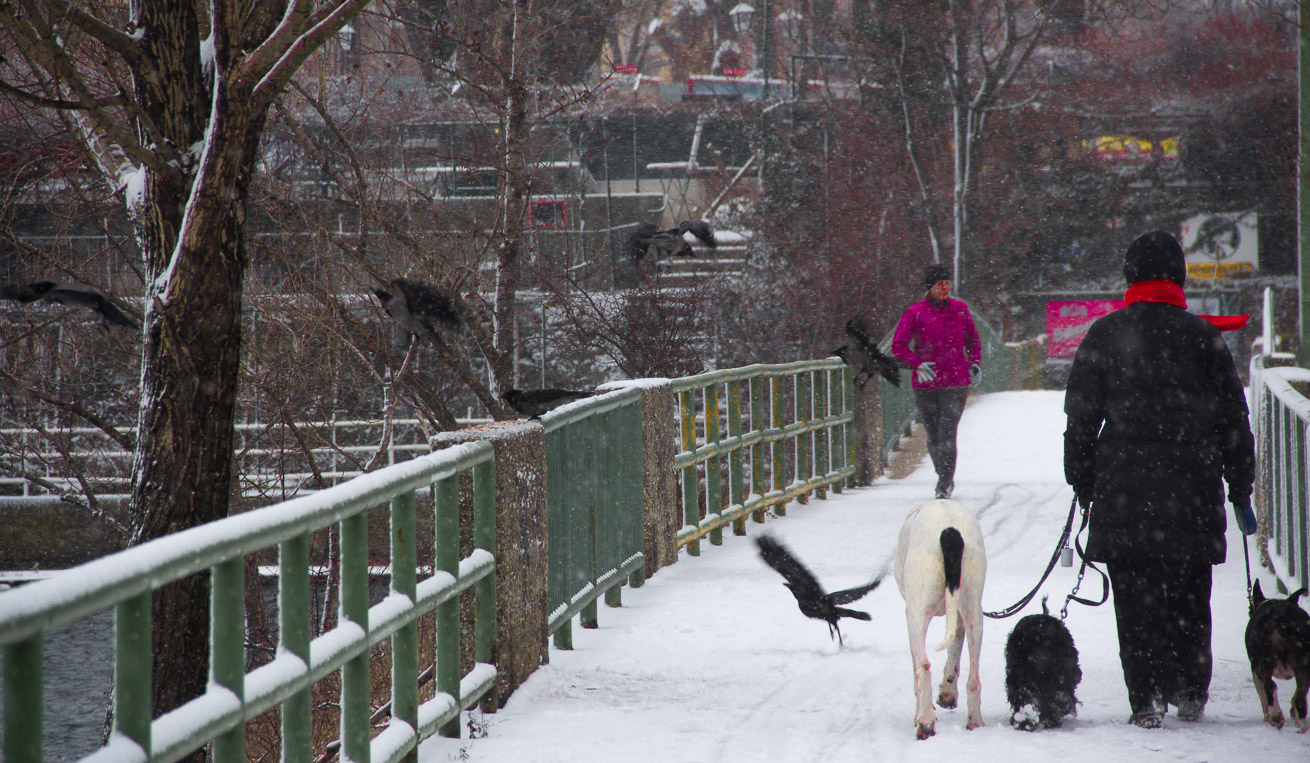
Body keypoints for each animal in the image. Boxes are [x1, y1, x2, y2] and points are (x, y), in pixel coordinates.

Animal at [896, 498, 985, 739]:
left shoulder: (911, 614)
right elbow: (955, 649)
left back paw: (925, 722)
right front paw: (948, 692)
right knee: (974, 676)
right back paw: (975, 721)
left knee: (923, 666)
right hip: (974, 610)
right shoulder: (960, 615)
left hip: (917, 613)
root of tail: (949, 531)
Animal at [1247, 579, 1310, 734]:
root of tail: (1282, 620)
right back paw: (1301, 726)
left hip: (1263, 663)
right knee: (1301, 696)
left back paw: (1276, 716)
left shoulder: (1255, 670)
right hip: (1304, 662)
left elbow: (1262, 694)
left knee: (1270, 686)